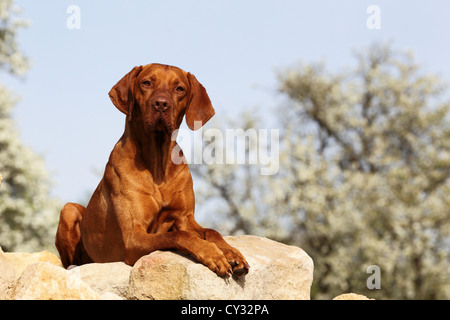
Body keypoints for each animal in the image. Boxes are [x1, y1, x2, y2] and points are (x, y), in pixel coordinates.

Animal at [55, 63, 250, 278]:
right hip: (69, 210)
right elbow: (178, 235)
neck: (157, 164)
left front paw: (232, 252)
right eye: (146, 83)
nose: (161, 104)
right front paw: (212, 253)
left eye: (179, 88)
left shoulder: (184, 218)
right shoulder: (134, 238)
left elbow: (211, 231)